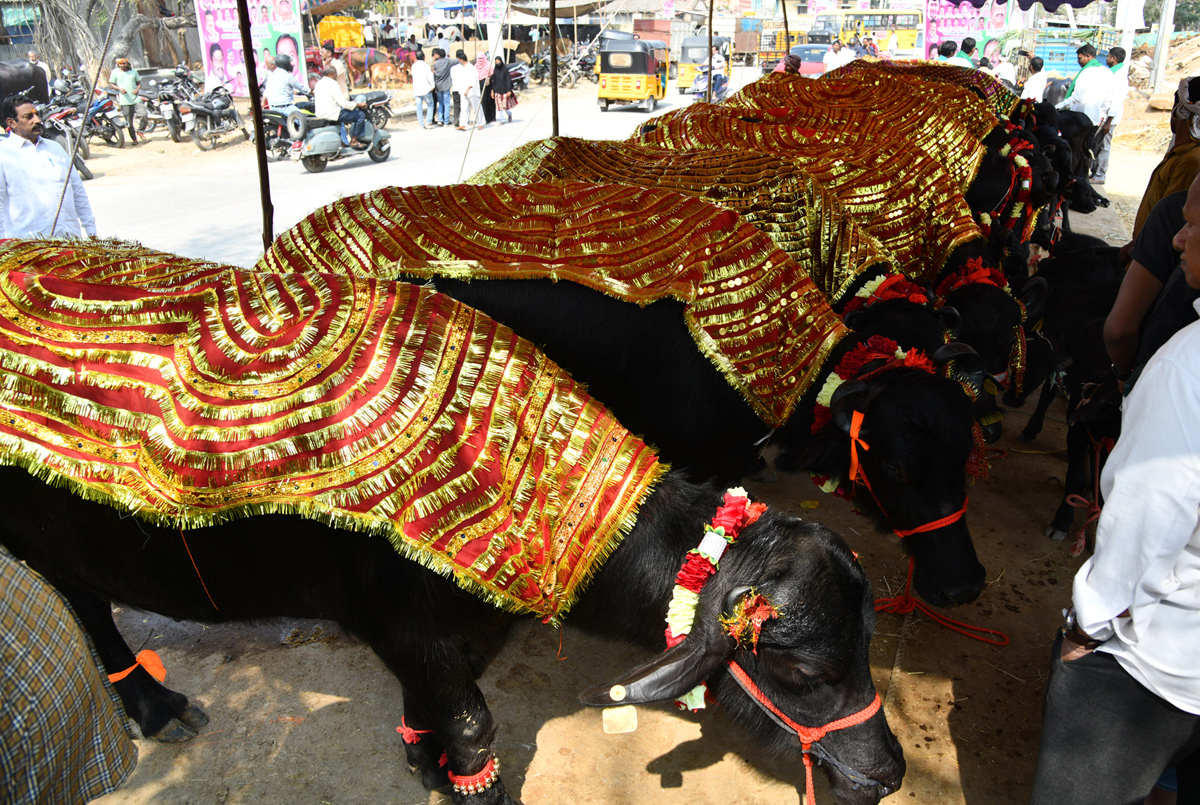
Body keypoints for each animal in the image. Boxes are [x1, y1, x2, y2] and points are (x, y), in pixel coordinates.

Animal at [0, 470, 902, 801]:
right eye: (804, 670)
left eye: (866, 641)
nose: (889, 772)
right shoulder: (411, 629)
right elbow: (476, 727)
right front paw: (464, 777)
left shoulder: (447, 640)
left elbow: (436, 707)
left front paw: (425, 761)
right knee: (83, 607)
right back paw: (154, 703)